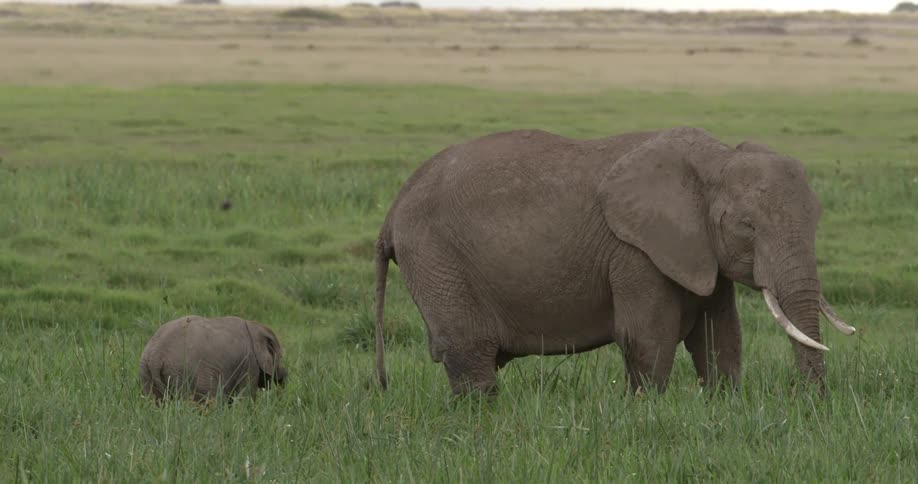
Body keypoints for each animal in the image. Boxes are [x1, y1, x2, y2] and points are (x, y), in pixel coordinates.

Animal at [139, 315, 287, 402]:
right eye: (280, 357)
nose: (283, 375)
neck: (255, 326)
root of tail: (155, 357)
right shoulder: (250, 362)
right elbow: (245, 396)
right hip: (185, 374)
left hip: (147, 372)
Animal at [372, 126, 855, 395]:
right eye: (748, 227)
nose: (810, 402)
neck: (714, 159)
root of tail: (391, 212)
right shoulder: (634, 251)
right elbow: (648, 336)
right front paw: (648, 411)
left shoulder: (700, 251)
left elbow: (721, 337)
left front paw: (725, 405)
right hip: (436, 259)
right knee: (469, 354)